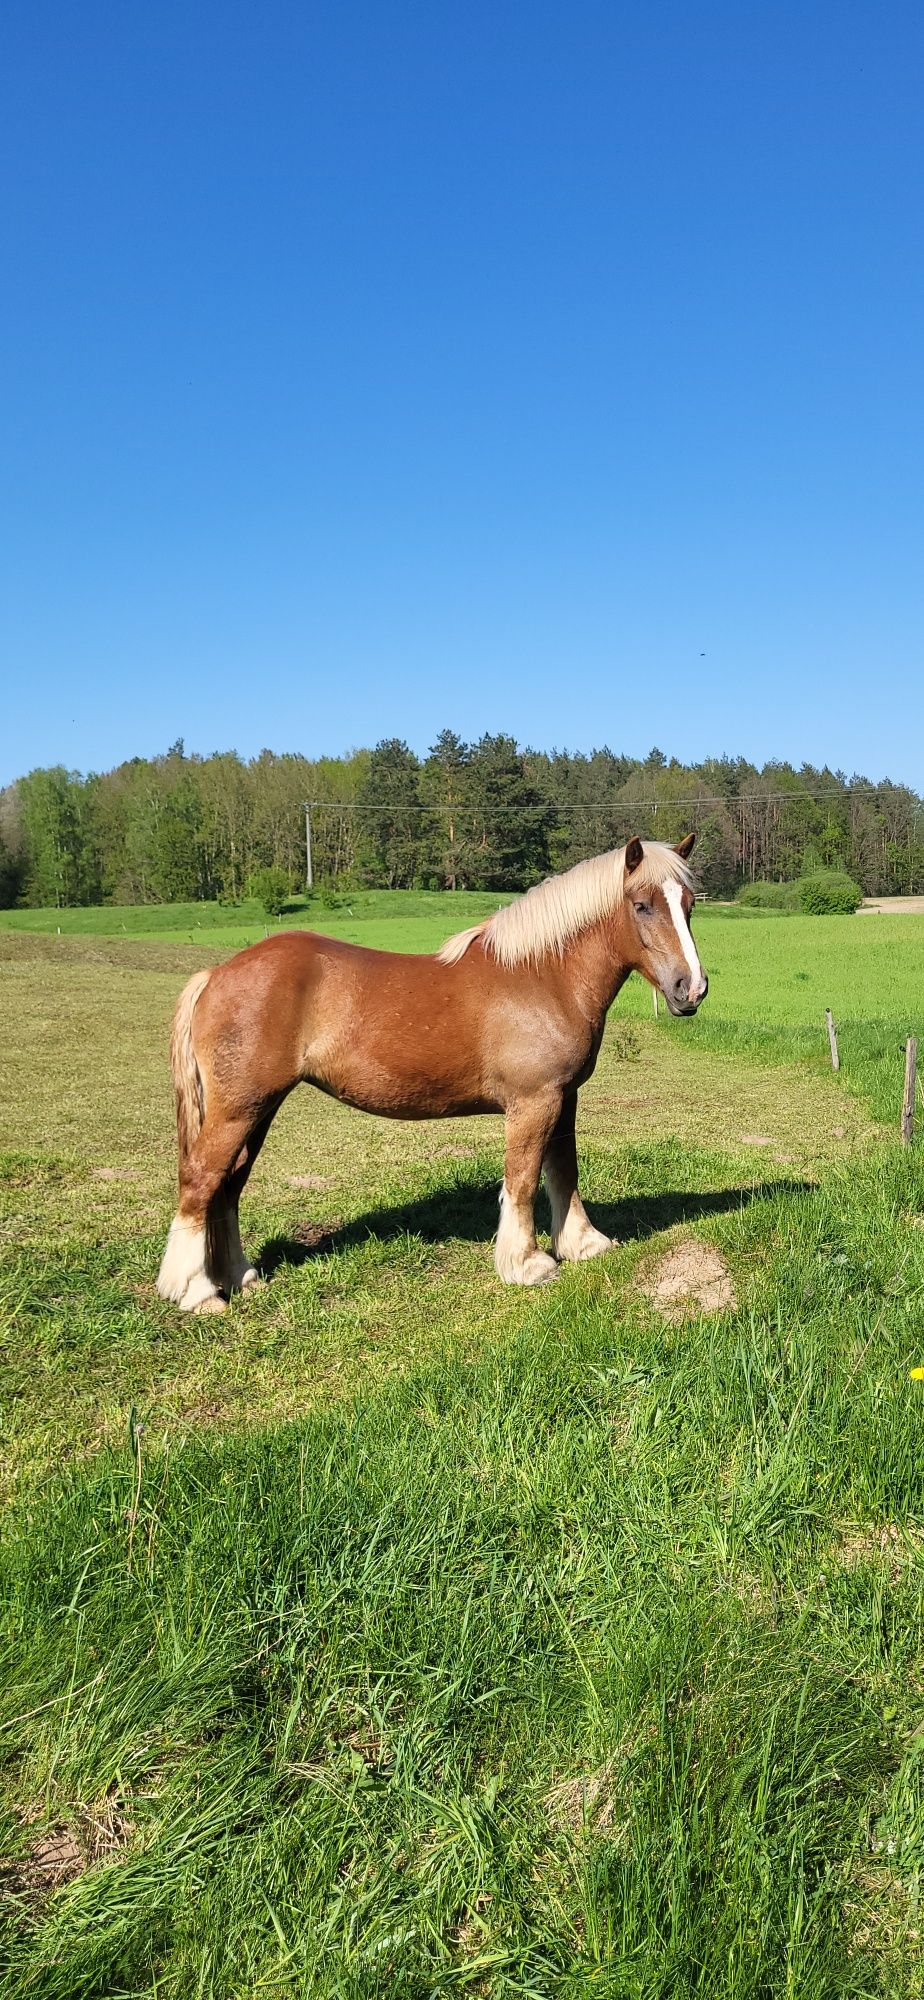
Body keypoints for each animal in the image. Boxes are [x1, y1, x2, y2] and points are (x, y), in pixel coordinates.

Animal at [157, 832, 708, 1312]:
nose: (692, 989)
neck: (543, 975)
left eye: (688, 904)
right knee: (200, 1180)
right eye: (641, 905)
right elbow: (523, 1178)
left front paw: (584, 1244)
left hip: (259, 1109)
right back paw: (197, 1293)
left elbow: (564, 1171)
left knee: (227, 1188)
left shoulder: (563, 1097)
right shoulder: (534, 1102)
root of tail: (216, 975)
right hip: (238, 1109)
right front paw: (527, 1264)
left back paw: (240, 1277)